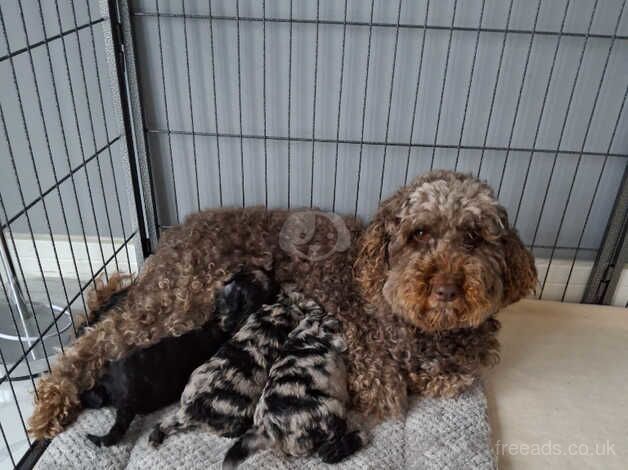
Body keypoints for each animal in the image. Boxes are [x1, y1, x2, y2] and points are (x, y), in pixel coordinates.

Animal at [222, 310, 366, 468]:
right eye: (325, 317)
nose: (333, 316)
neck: (304, 333)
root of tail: (268, 430)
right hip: (332, 410)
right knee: (327, 450)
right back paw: (358, 437)